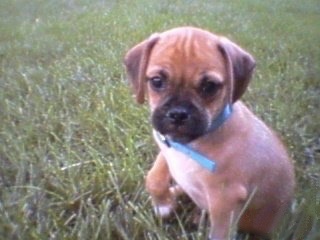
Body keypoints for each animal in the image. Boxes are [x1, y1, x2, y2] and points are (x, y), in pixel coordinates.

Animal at [123, 27, 296, 239]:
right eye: (157, 81)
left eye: (210, 86)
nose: (178, 114)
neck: (190, 145)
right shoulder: (167, 149)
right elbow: (153, 177)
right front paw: (163, 205)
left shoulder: (225, 202)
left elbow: (219, 234)